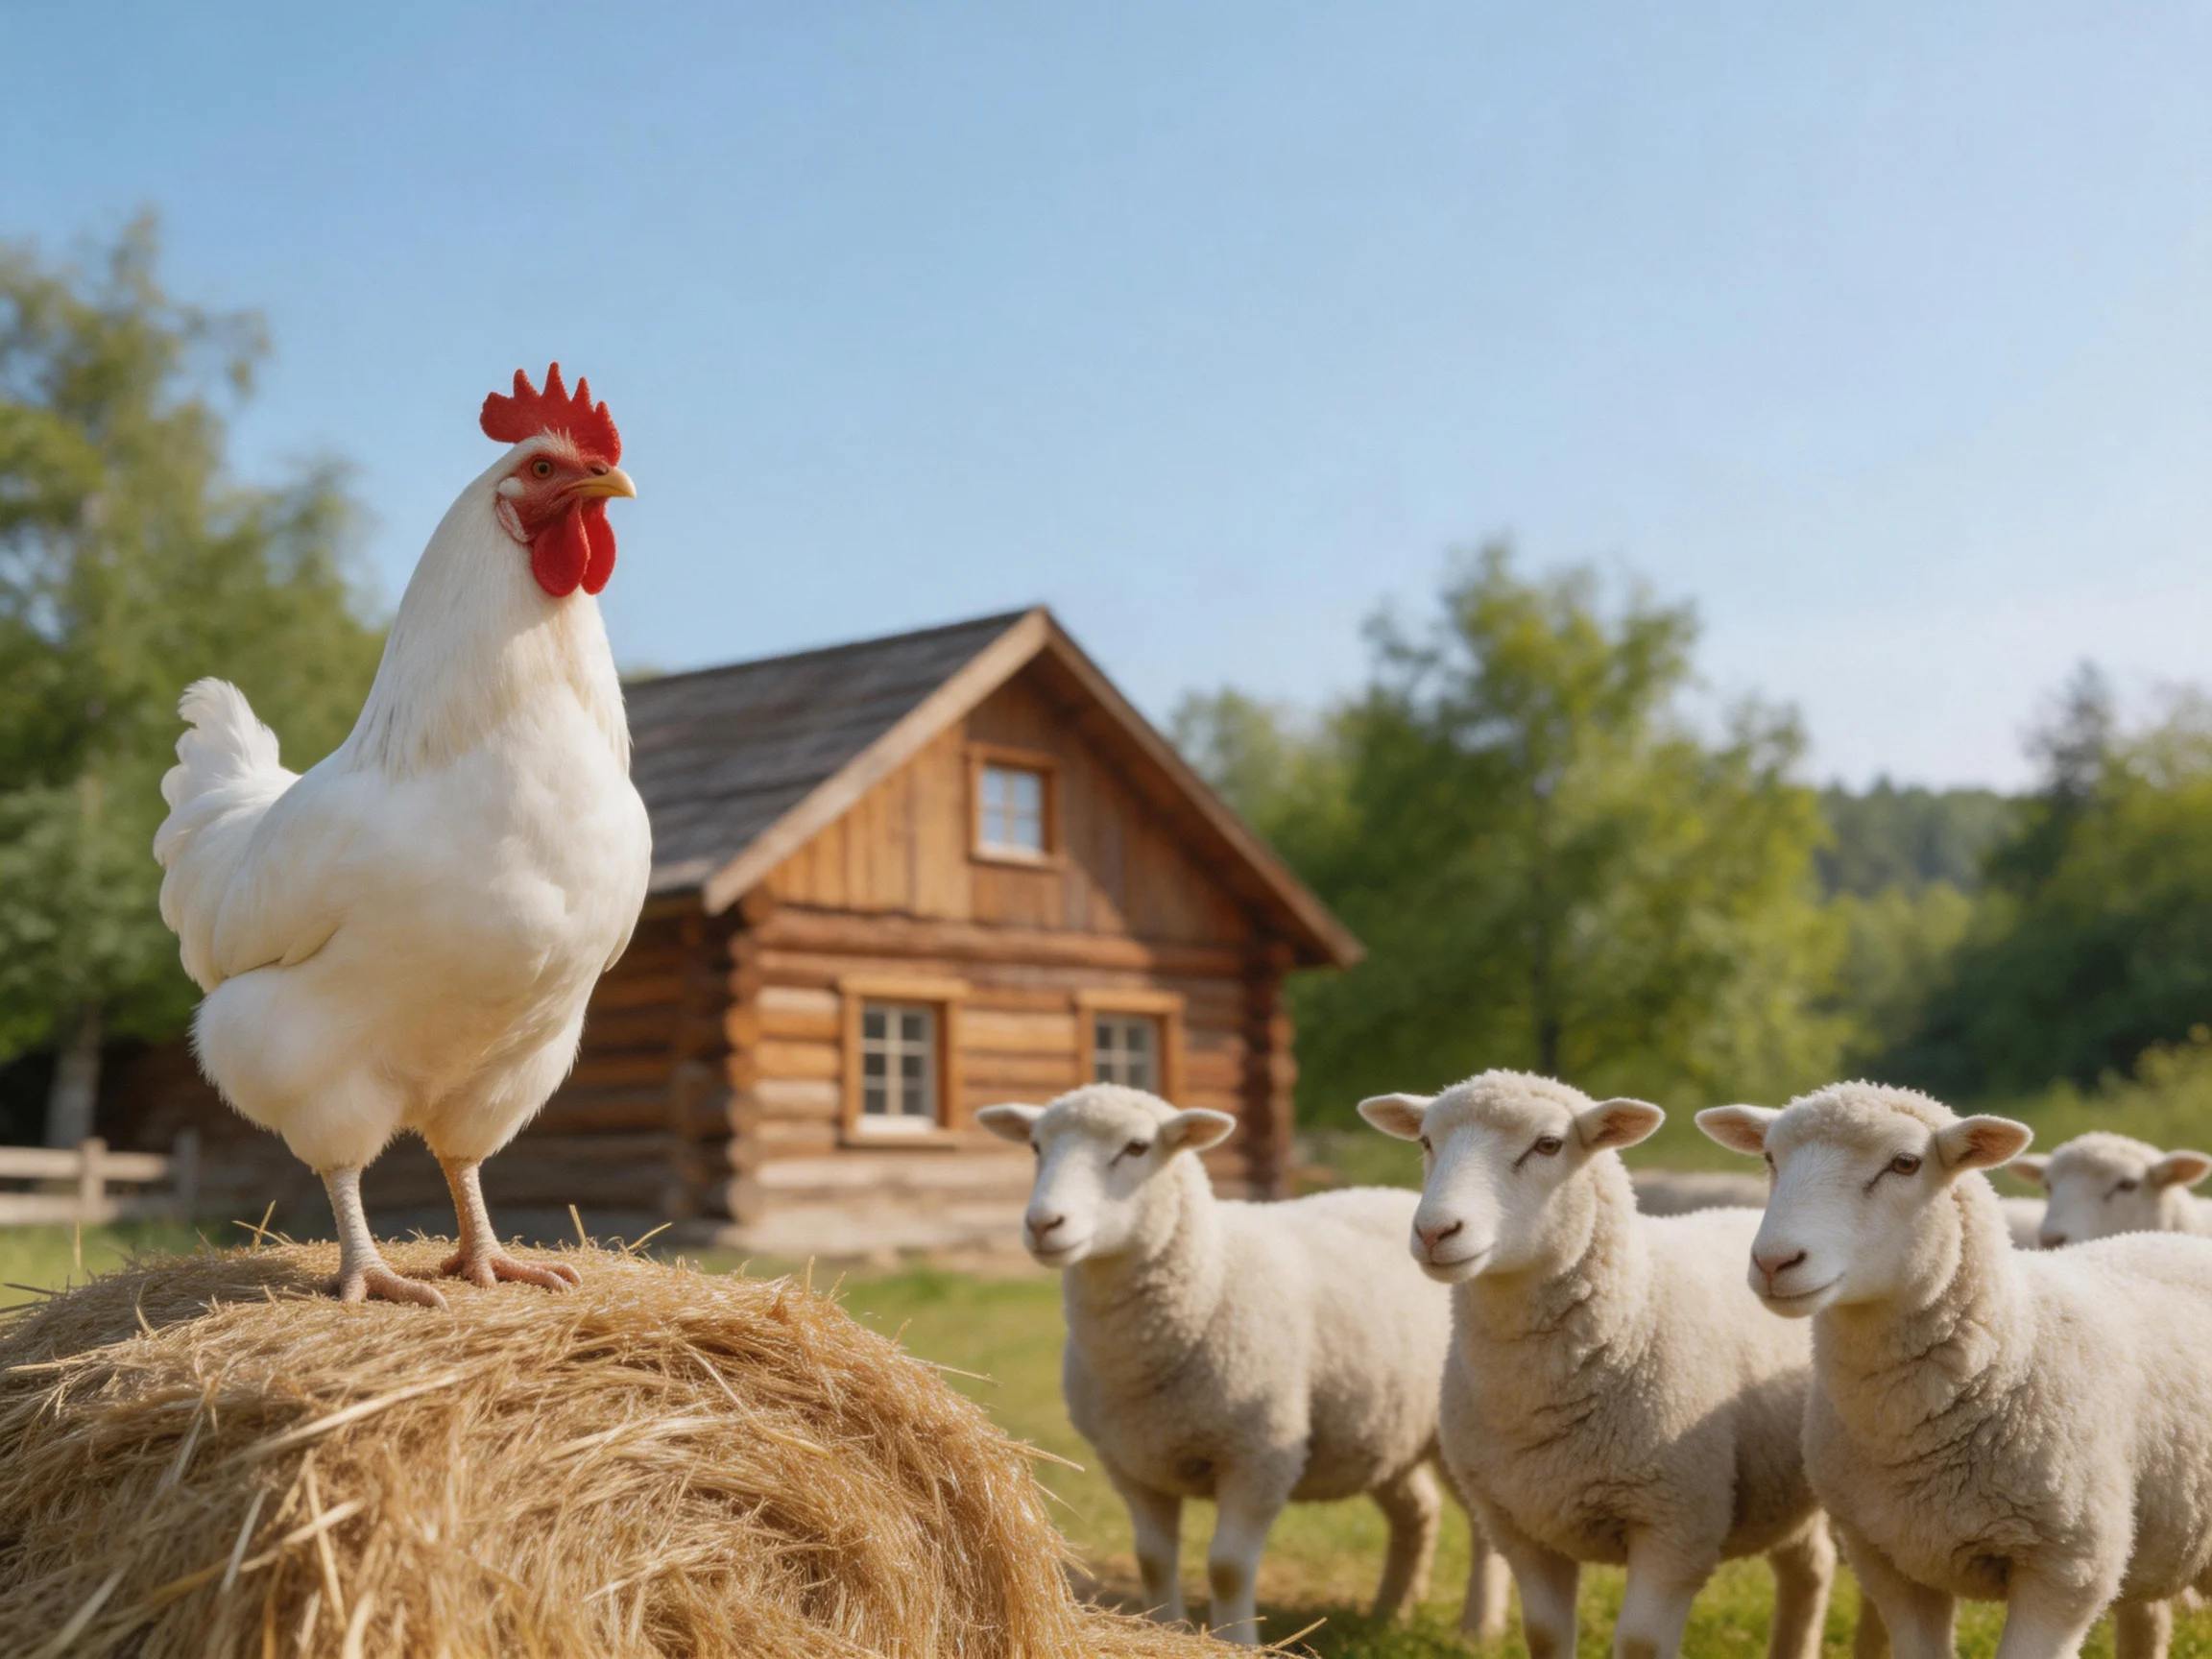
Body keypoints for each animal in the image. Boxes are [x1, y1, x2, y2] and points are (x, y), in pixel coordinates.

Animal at [975, 1084, 1509, 1647]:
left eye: (1138, 1147)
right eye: (1035, 1145)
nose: (1043, 1224)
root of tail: (1405, 1197)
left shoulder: (1260, 1455)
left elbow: (1227, 1567)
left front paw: (1237, 1641)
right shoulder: (1131, 1463)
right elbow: (1153, 1562)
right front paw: (1167, 1630)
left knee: (1482, 1528)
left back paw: (1480, 1625)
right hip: (1382, 1427)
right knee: (1418, 1511)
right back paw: (1391, 1611)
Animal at [1359, 1069, 1838, 1659]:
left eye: (1548, 1145)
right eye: (1426, 1141)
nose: (1434, 1232)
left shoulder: (1677, 1521)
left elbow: (1641, 1643)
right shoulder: (1518, 1525)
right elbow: (1544, 1634)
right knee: (1809, 1568)